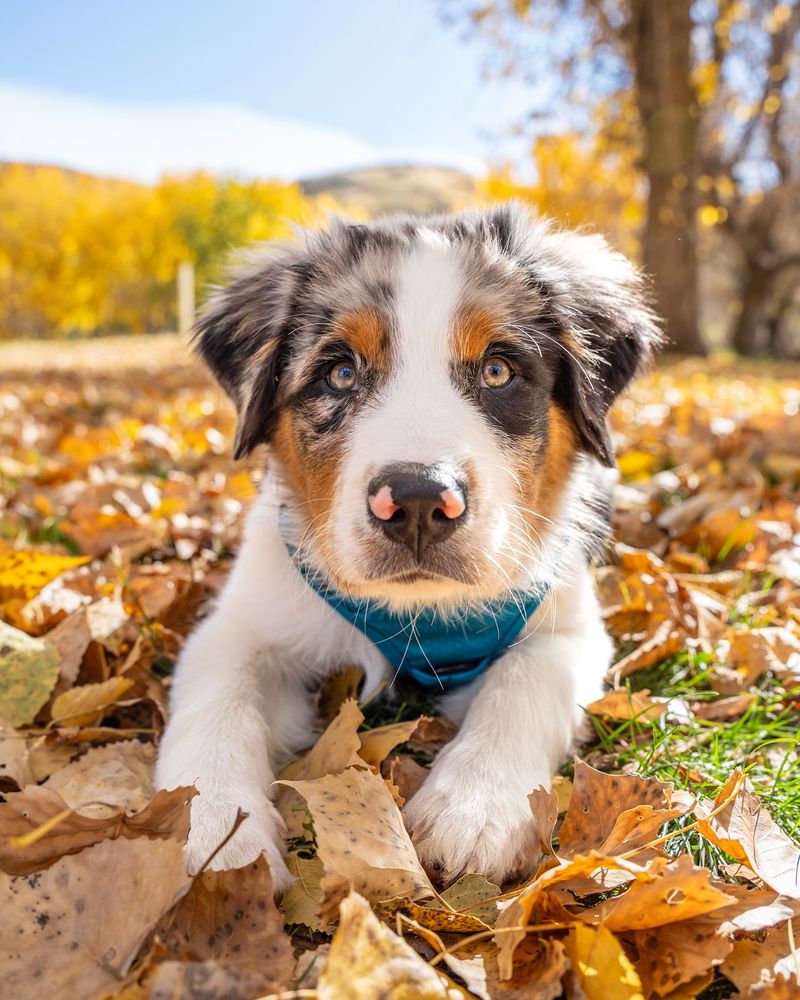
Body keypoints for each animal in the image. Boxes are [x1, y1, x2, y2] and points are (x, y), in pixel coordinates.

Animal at [153, 205, 660, 892]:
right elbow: (217, 697)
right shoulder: (243, 621)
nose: (419, 501)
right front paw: (213, 831)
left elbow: (528, 678)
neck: (419, 613)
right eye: (340, 372)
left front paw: (474, 809)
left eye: (498, 370)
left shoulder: (571, 625)